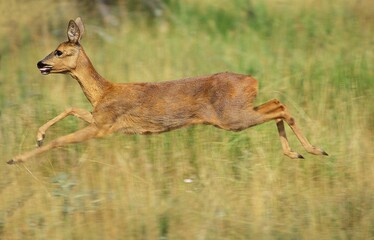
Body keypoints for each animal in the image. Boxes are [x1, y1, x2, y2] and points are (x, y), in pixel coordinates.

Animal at [6, 16, 328, 163]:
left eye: (59, 51)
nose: (40, 63)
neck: (104, 91)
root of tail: (252, 80)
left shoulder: (103, 127)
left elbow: (61, 140)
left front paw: (15, 158)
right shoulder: (102, 119)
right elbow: (71, 107)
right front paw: (38, 136)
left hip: (231, 117)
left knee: (281, 107)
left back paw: (314, 149)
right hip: (240, 110)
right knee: (277, 103)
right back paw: (298, 153)